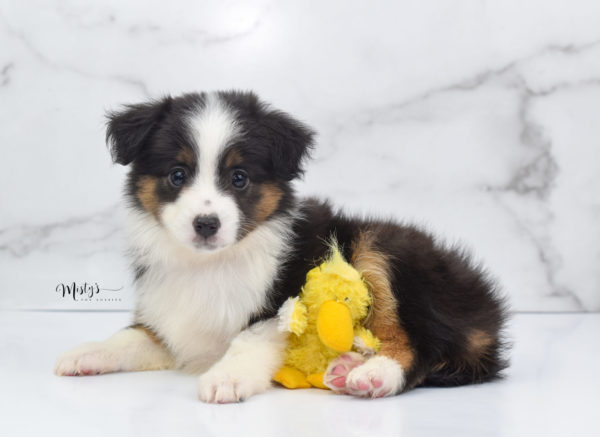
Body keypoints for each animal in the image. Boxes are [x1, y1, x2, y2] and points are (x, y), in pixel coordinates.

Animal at [55, 89, 506, 402]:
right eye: (177, 175)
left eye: (239, 178)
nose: (206, 224)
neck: (210, 265)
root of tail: (490, 310)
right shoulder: (174, 323)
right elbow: (130, 338)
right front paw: (86, 353)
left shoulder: (287, 298)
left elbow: (249, 338)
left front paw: (225, 378)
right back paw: (346, 366)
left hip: (386, 249)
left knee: (422, 343)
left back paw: (372, 375)